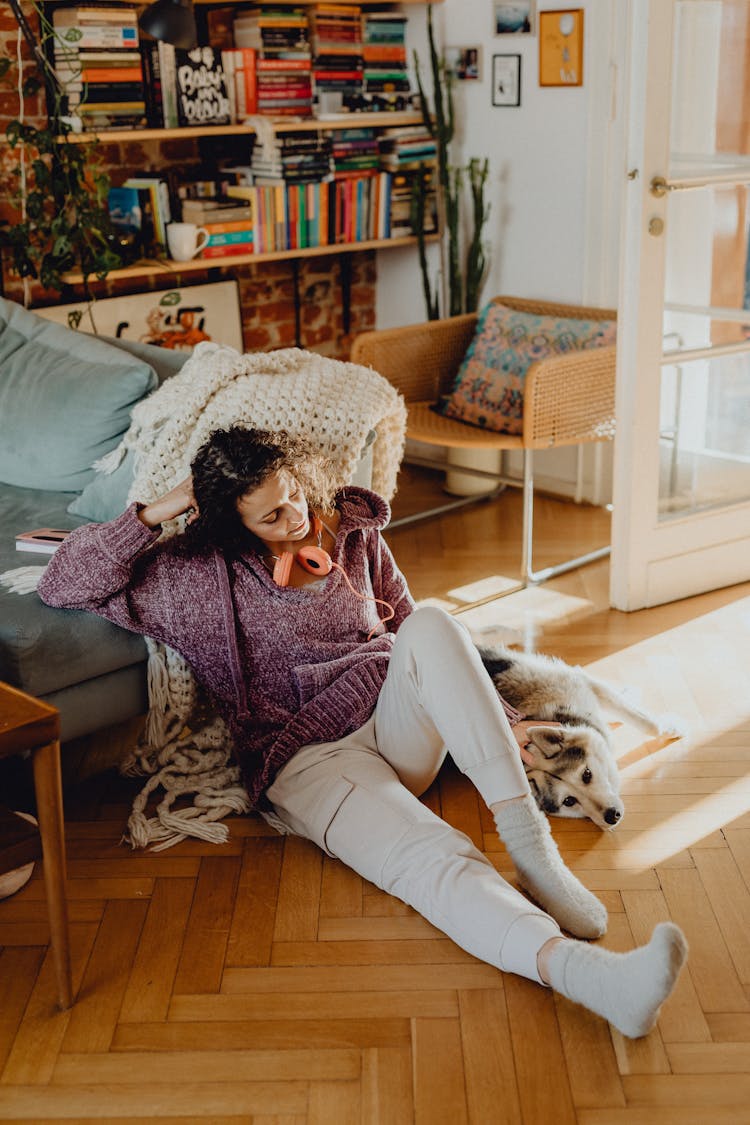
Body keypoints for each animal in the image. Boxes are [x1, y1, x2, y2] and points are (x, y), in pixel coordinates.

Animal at [479, 648, 683, 832]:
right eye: (569, 801)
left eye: (587, 774)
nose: (612, 816)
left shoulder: (582, 684)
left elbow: (645, 721)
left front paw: (671, 726)